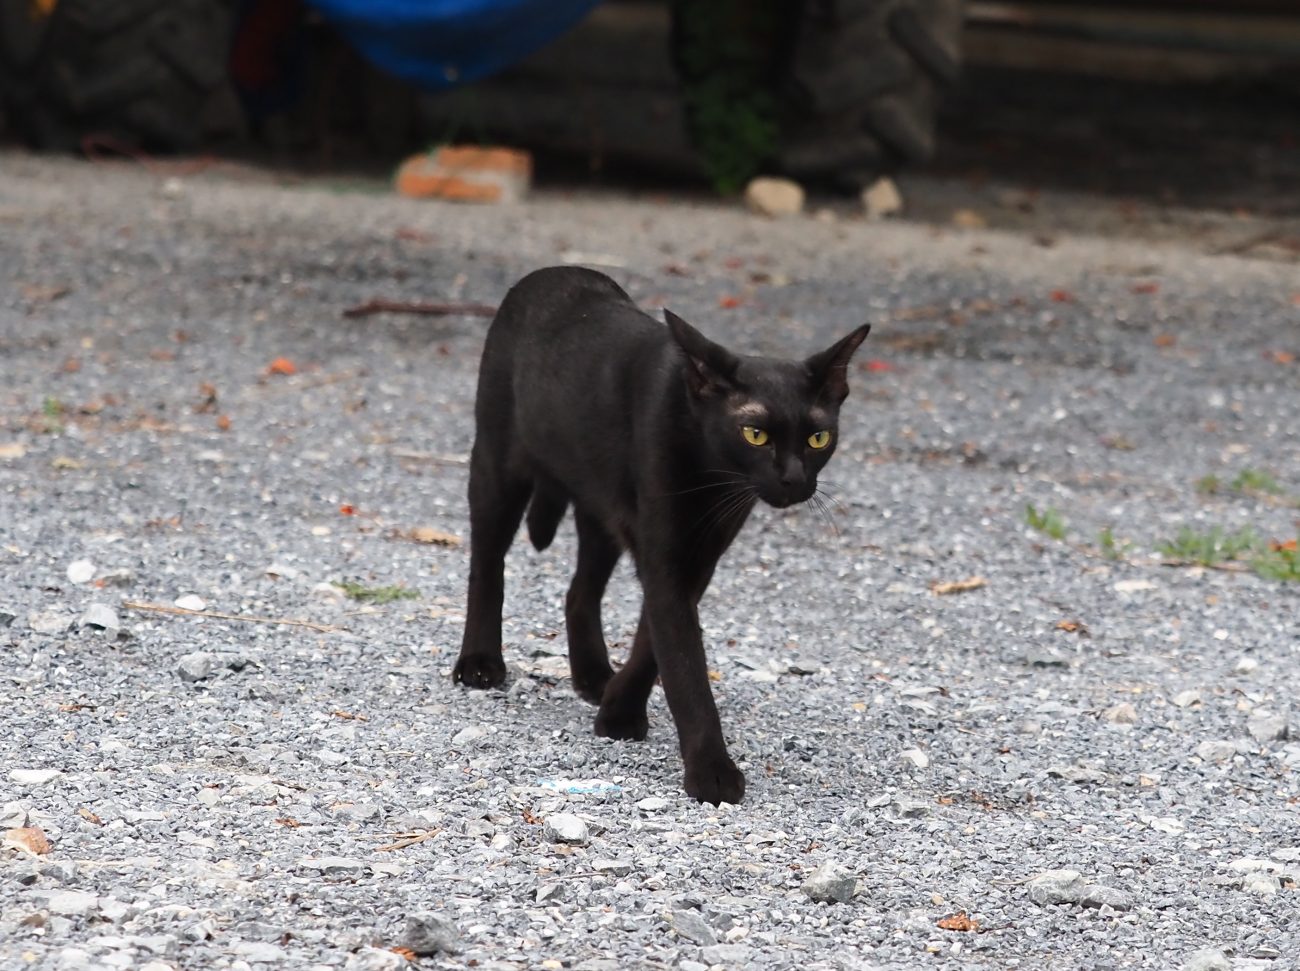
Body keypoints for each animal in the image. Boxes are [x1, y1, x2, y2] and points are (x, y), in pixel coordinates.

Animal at [452, 267, 868, 805]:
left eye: (819, 438)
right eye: (755, 434)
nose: (794, 479)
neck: (713, 478)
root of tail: (554, 272)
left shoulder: (698, 557)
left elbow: (654, 643)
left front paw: (618, 710)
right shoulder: (666, 556)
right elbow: (685, 666)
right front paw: (711, 771)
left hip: (599, 510)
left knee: (579, 591)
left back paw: (592, 674)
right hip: (497, 466)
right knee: (487, 564)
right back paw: (480, 661)